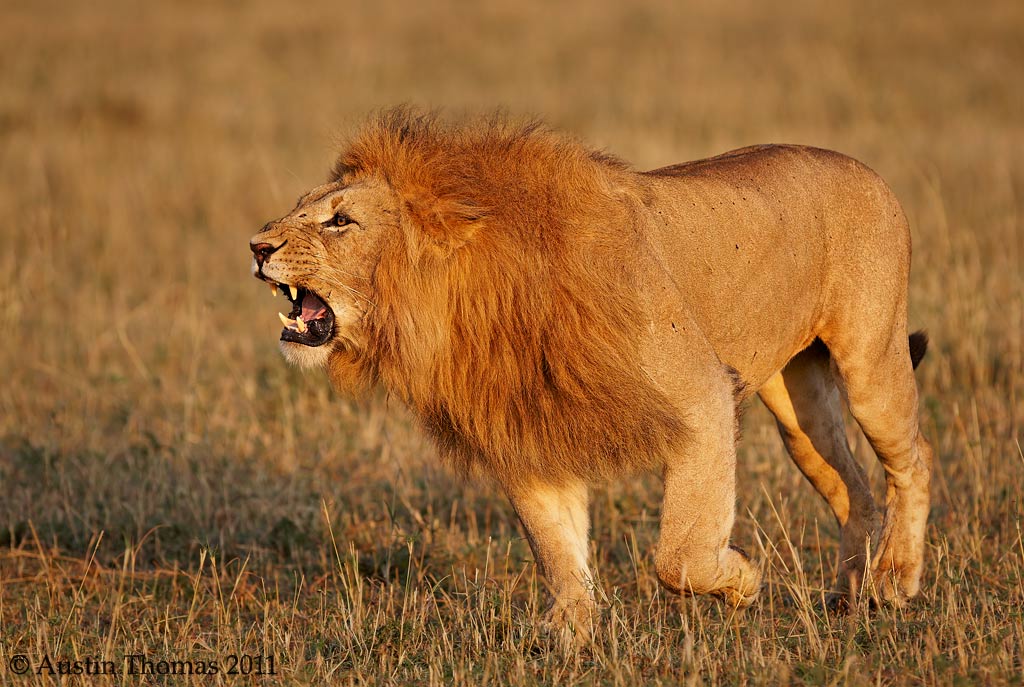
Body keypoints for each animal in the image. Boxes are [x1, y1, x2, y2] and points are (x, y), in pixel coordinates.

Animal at [249, 108, 933, 636]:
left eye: (340, 221)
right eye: (300, 208)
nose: (257, 246)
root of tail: (865, 169)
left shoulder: (701, 397)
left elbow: (679, 555)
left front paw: (741, 580)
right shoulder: (530, 427)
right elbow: (557, 550)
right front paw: (569, 637)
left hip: (870, 365)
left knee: (914, 460)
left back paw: (896, 581)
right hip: (798, 409)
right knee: (855, 490)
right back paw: (848, 595)